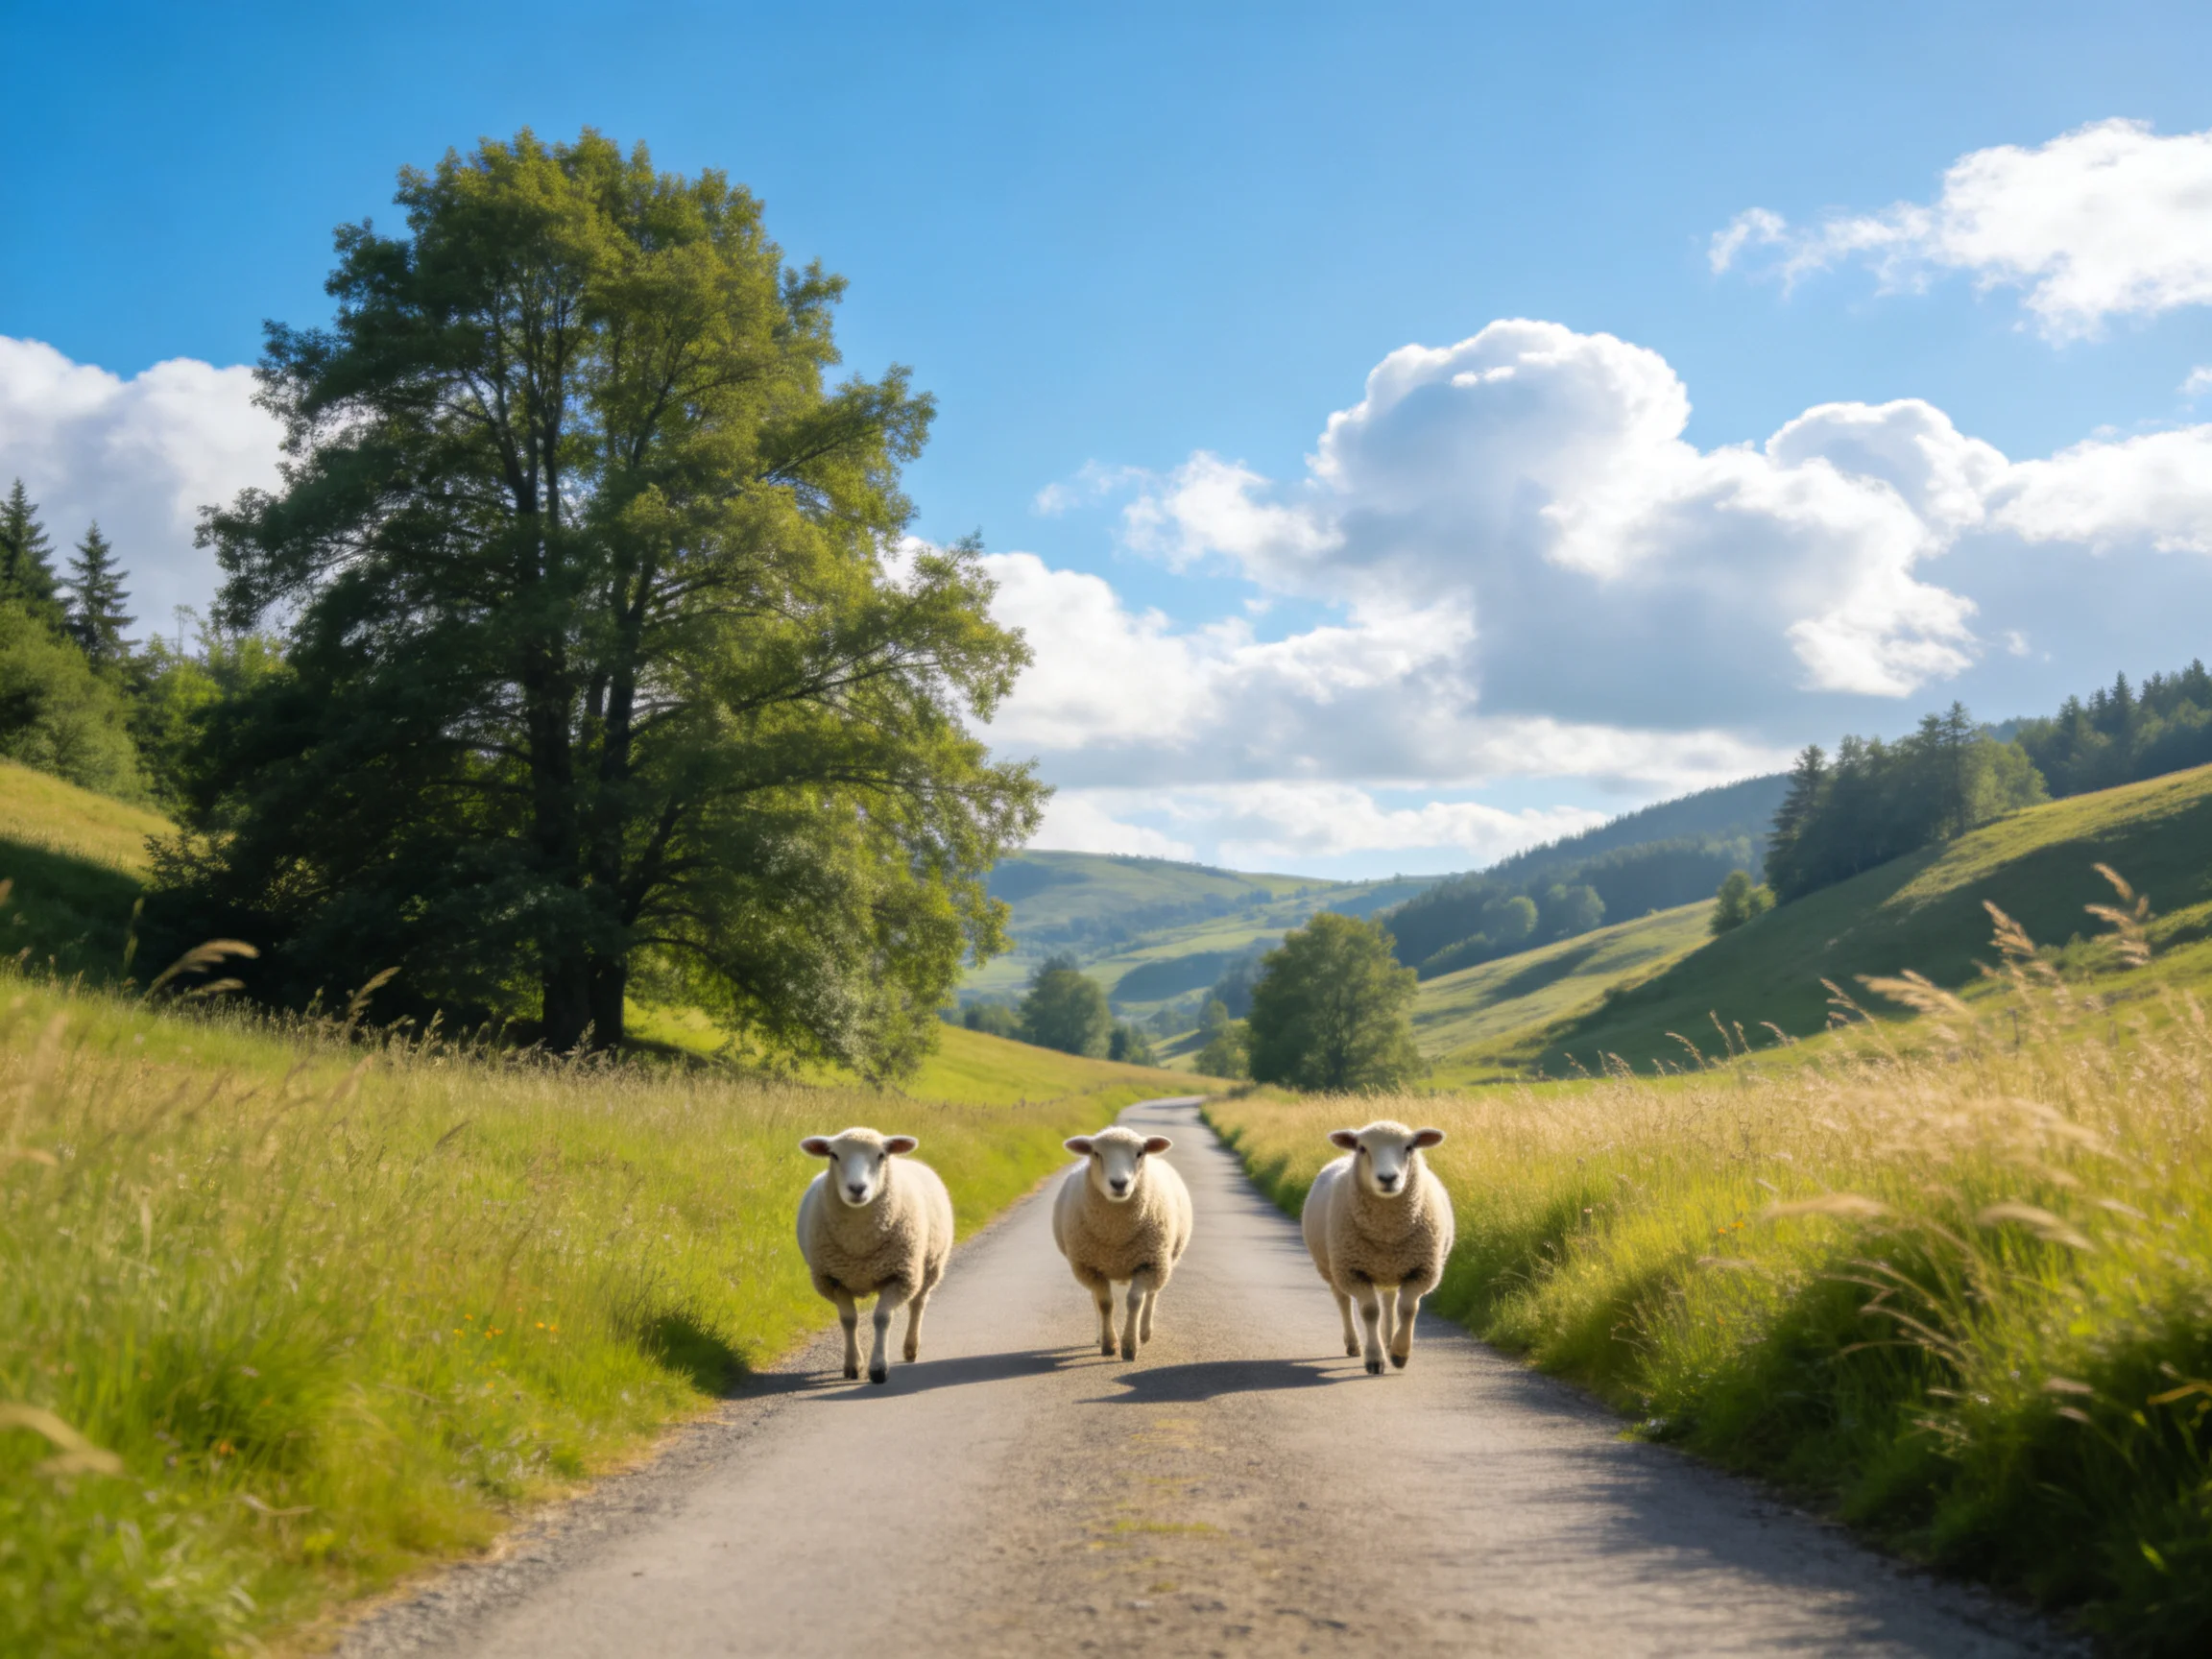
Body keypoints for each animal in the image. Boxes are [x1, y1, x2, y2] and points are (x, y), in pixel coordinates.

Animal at [795, 1127, 955, 1384]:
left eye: (881, 1155)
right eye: (834, 1155)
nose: (857, 1188)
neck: (859, 1241)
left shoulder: (899, 1276)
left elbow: (882, 1319)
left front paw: (878, 1368)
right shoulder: (834, 1278)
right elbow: (849, 1320)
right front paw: (853, 1365)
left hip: (929, 1267)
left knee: (917, 1304)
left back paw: (911, 1348)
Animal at [1052, 1125, 1193, 1361]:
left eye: (1140, 1153)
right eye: (1096, 1153)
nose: (1119, 1183)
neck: (1116, 1233)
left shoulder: (1149, 1263)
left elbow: (1135, 1301)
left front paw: (1130, 1346)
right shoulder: (1089, 1267)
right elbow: (1104, 1304)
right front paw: (1109, 1344)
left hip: (1162, 1262)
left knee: (1151, 1295)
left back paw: (1144, 1332)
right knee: (1096, 1299)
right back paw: (1100, 1334)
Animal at [1301, 1120, 1453, 1375]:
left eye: (1409, 1147)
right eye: (1362, 1148)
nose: (1388, 1178)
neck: (1387, 1233)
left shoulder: (1422, 1270)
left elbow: (1407, 1309)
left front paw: (1400, 1353)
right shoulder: (1352, 1271)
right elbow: (1369, 1311)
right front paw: (1375, 1359)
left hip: (1390, 1269)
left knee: (1390, 1301)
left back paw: (1389, 1339)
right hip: (1331, 1267)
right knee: (1343, 1301)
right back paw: (1354, 1344)